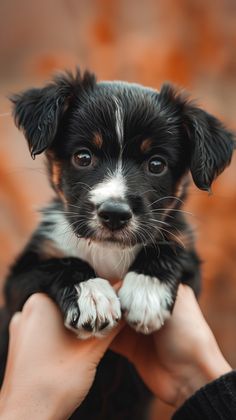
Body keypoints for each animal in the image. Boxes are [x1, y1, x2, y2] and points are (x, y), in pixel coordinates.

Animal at [1, 70, 234, 418]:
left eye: (156, 164)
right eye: (83, 156)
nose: (114, 213)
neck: (107, 250)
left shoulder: (190, 262)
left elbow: (169, 246)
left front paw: (146, 293)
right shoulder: (20, 279)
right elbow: (62, 263)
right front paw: (92, 296)